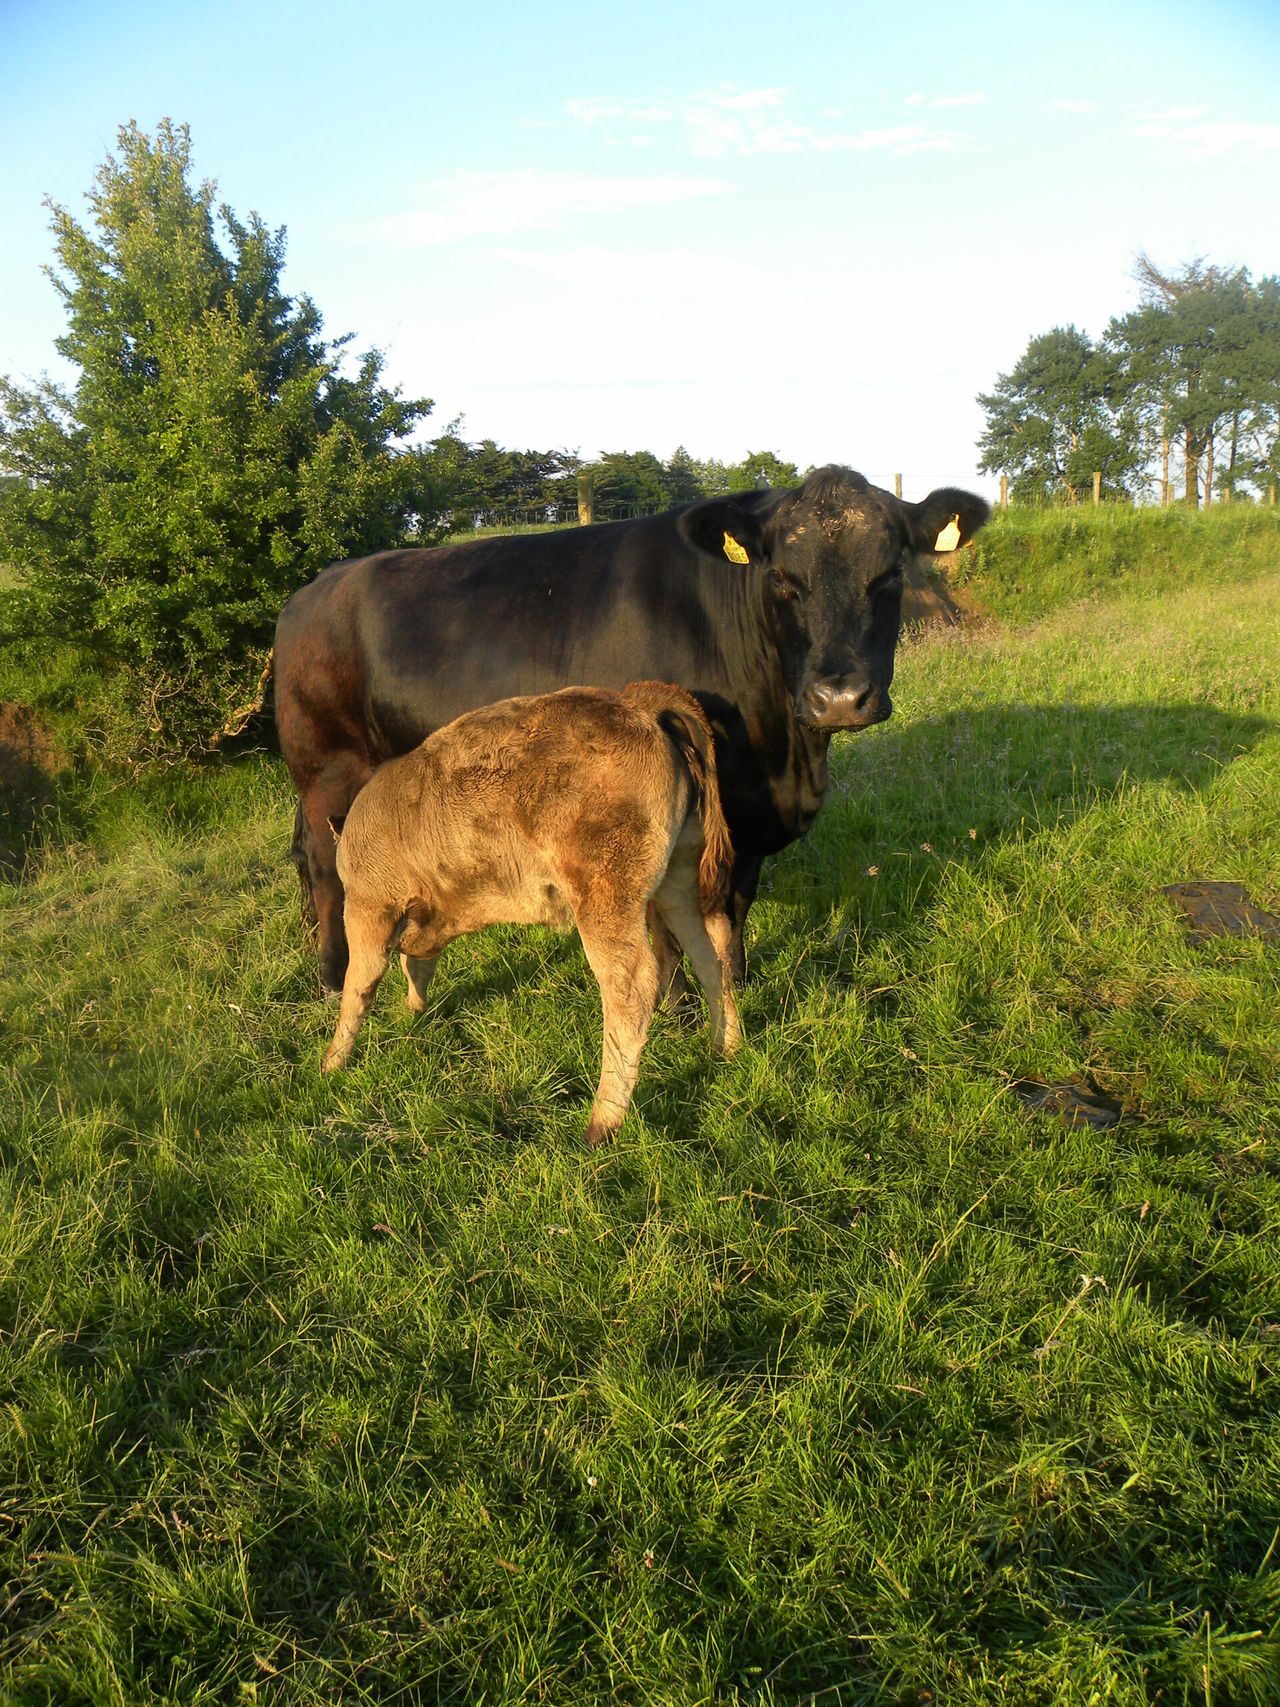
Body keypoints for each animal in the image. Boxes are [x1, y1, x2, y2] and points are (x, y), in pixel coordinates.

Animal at [275, 466, 989, 994]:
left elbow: (736, 904)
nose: (838, 697)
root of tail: (313, 587)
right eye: (783, 579)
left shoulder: (745, 811)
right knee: (324, 863)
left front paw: (735, 986)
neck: (785, 756)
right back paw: (335, 974)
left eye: (890, 575)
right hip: (326, 767)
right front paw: (679, 1006)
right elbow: (666, 921)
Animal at [321, 682, 741, 1145]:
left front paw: (332, 1061)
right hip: (678, 882)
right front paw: (415, 1010)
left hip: (604, 897)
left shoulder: (368, 908)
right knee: (710, 954)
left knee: (630, 986)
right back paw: (725, 1048)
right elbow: (415, 965)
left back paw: (602, 1122)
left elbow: (358, 985)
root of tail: (637, 704)